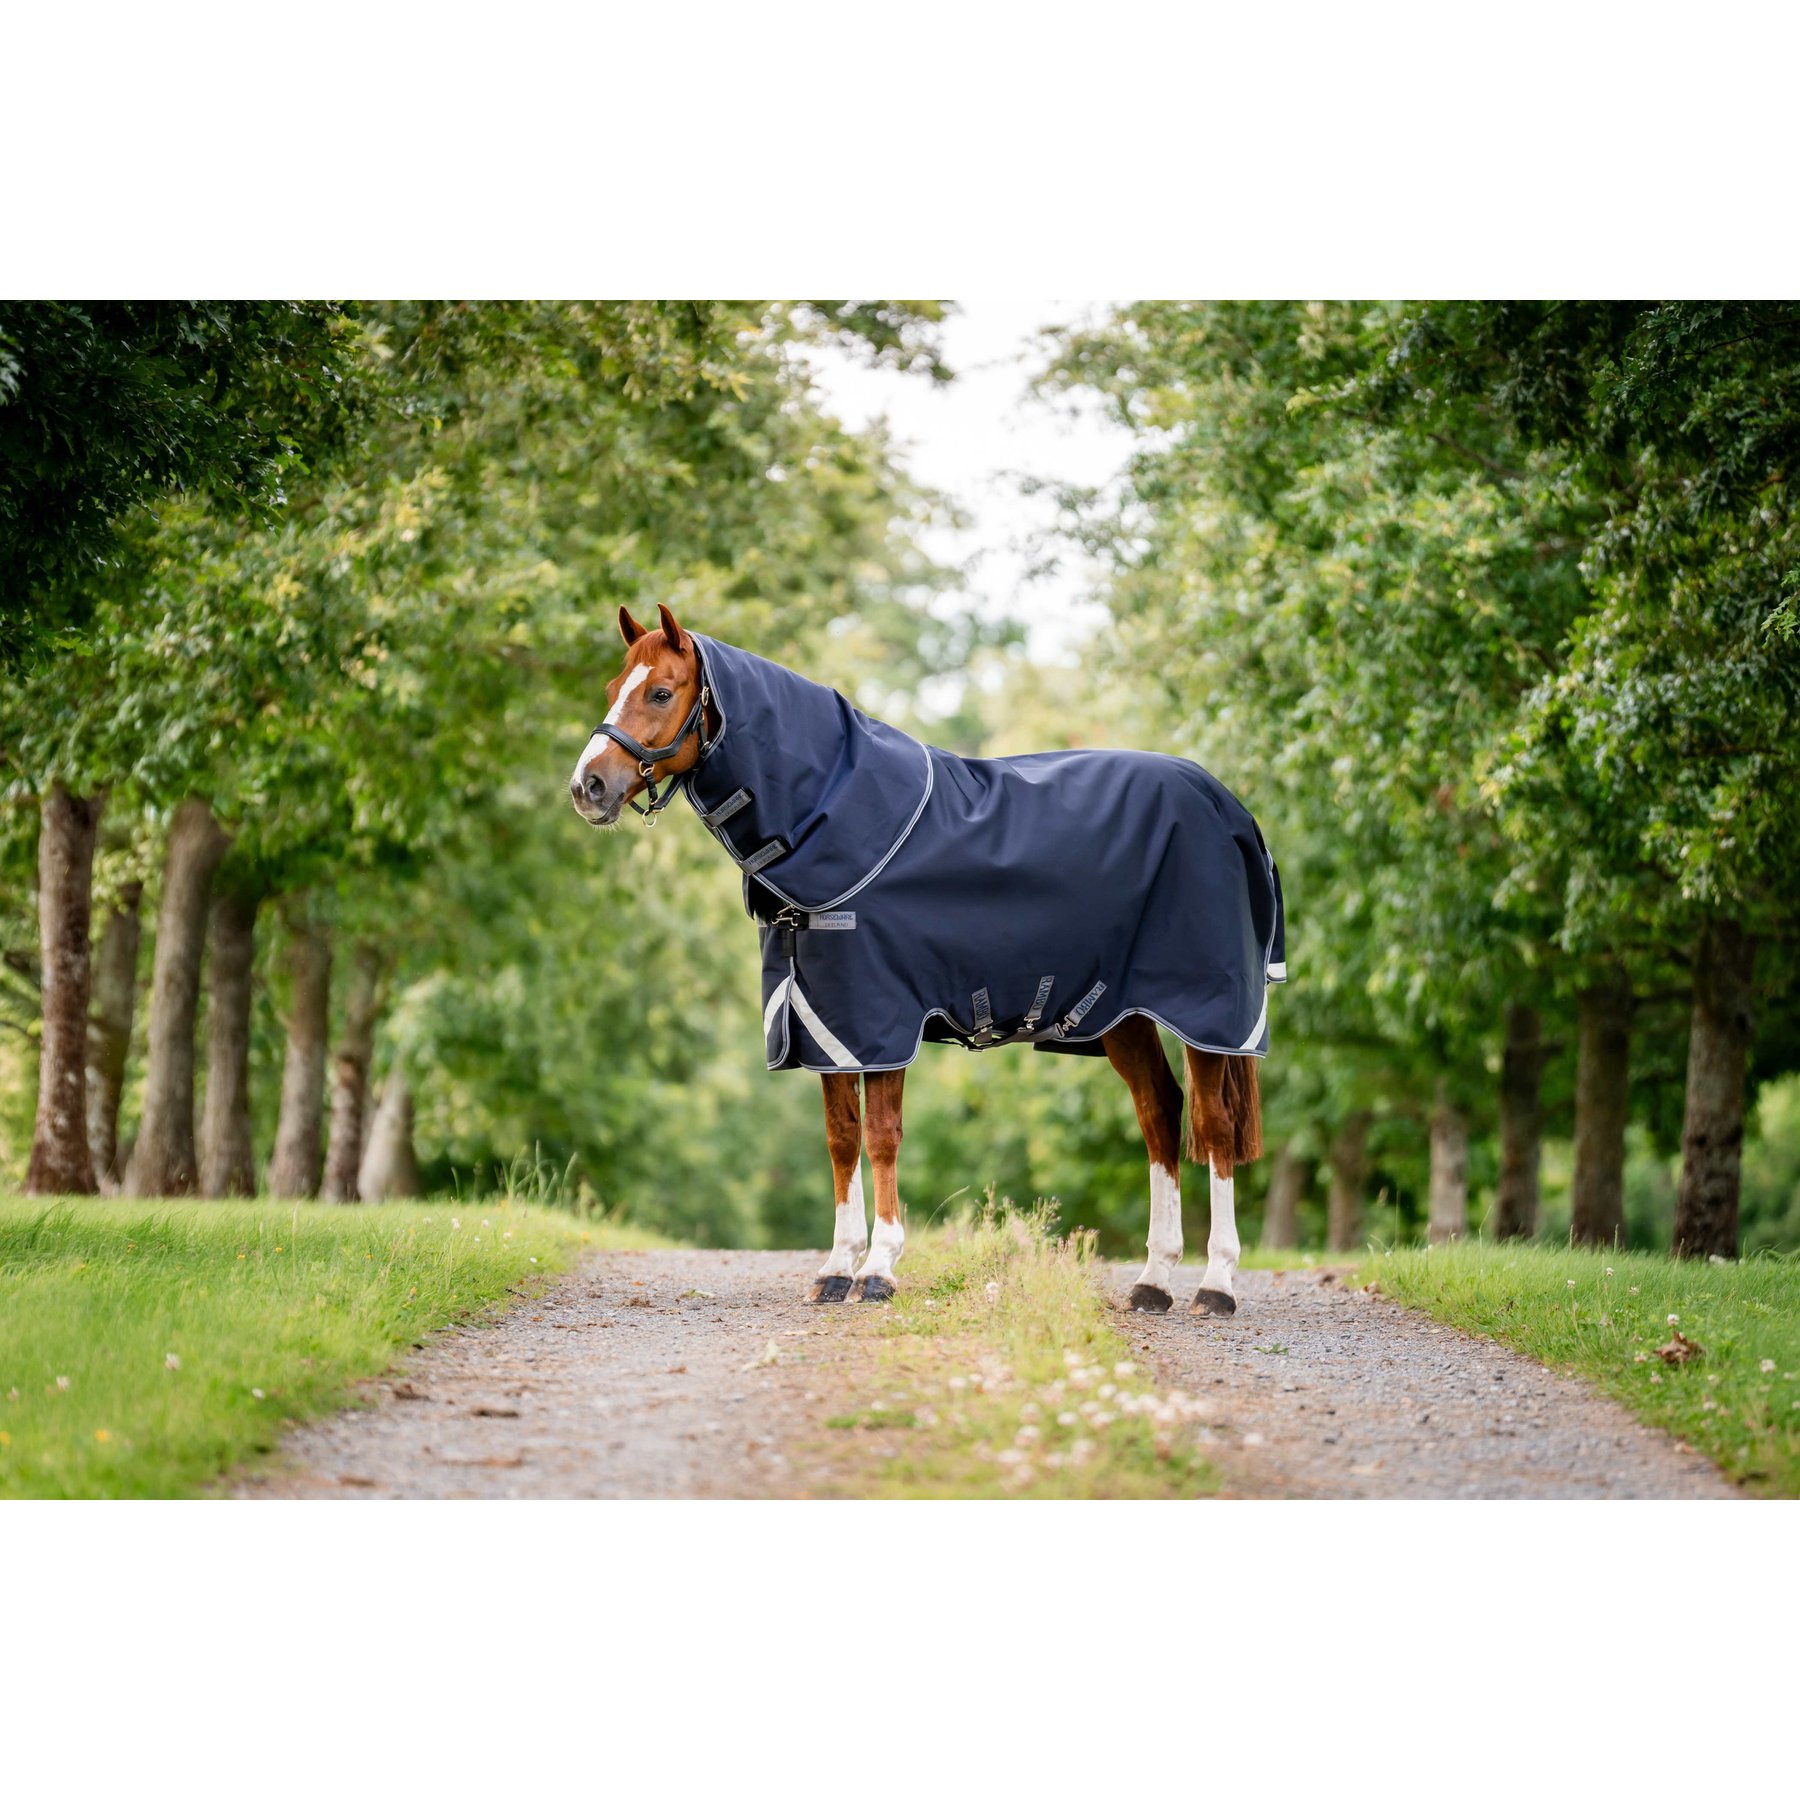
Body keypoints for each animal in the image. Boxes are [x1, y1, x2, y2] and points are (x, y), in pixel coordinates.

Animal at [570, 604, 1285, 1315]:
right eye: (612, 688)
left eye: (661, 692)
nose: (587, 786)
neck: (832, 817)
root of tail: (1230, 809)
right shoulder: (825, 1022)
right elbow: (841, 1137)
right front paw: (836, 1269)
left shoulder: (883, 1018)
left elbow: (882, 1135)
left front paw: (880, 1269)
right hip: (1124, 1014)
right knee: (1160, 1115)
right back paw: (1154, 1280)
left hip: (1207, 1012)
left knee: (1215, 1125)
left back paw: (1216, 1283)